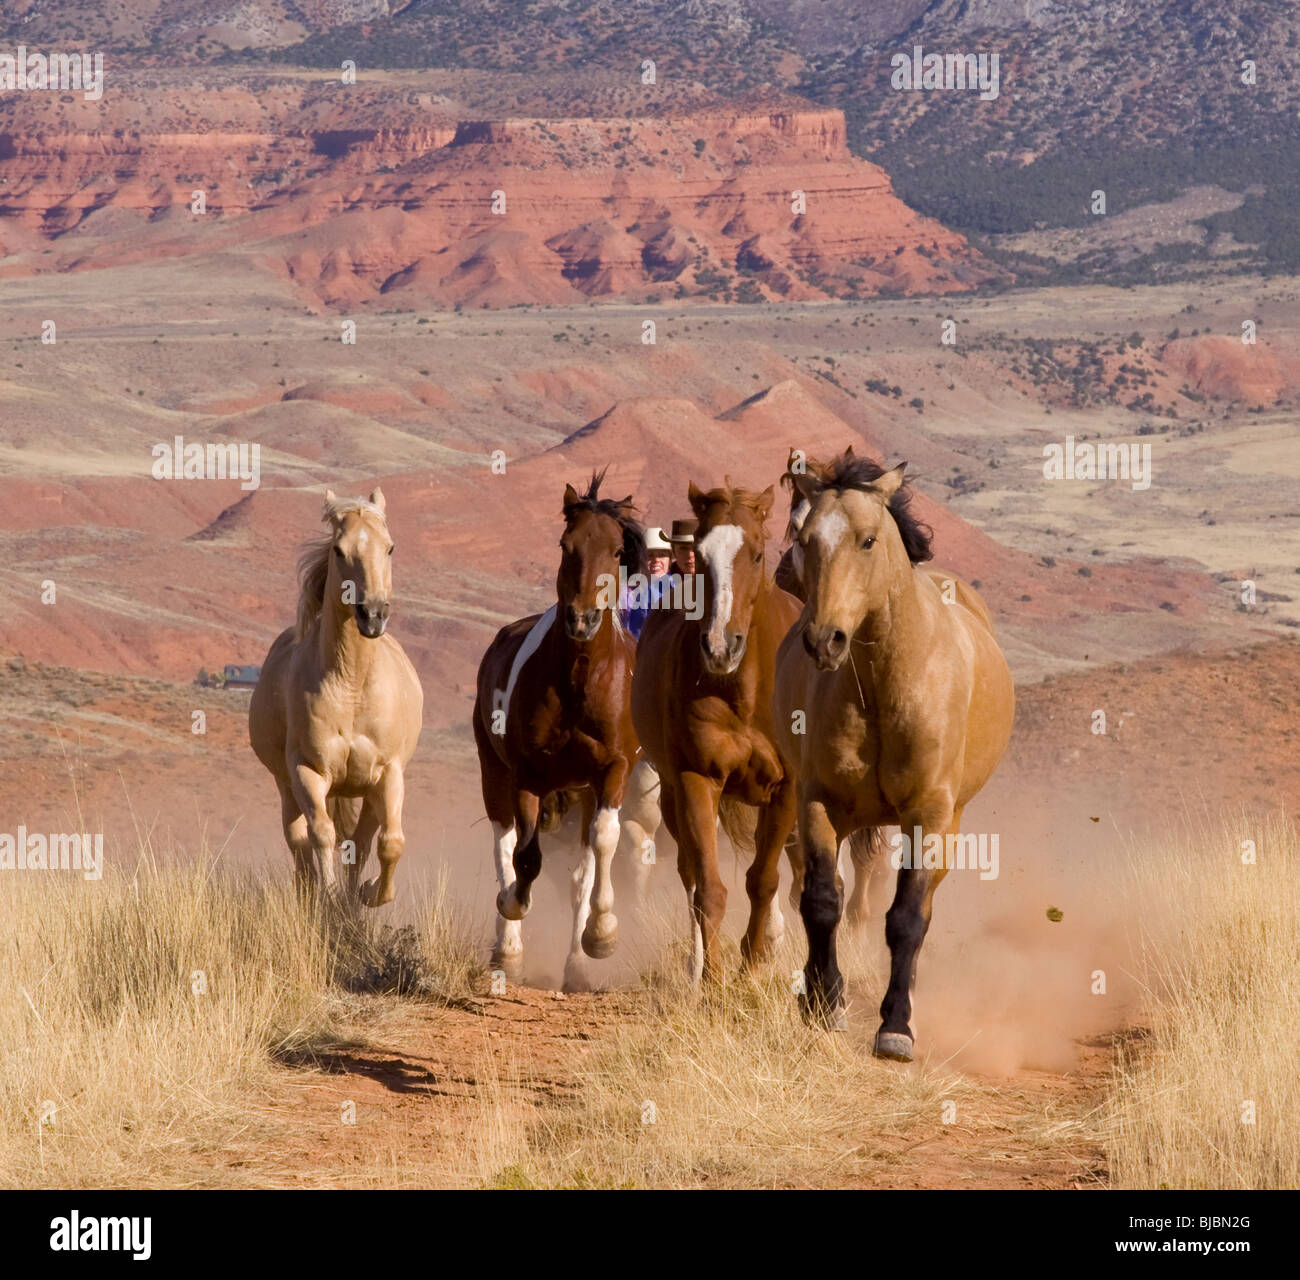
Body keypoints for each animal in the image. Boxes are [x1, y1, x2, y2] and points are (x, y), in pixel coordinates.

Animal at [250, 488, 424, 907]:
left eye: (390, 547)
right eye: (339, 551)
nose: (372, 615)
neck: (352, 685)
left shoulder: (388, 774)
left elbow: (389, 843)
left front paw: (369, 893)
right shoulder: (308, 772)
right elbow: (321, 835)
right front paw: (328, 898)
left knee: (360, 842)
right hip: (286, 784)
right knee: (299, 841)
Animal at [473, 472, 644, 990]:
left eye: (616, 550)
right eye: (566, 545)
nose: (582, 619)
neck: (580, 676)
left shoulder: (612, 770)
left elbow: (602, 846)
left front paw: (600, 937)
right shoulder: (528, 774)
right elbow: (524, 859)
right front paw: (511, 910)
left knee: (578, 874)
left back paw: (575, 966)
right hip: (493, 772)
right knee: (504, 843)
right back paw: (507, 948)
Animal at [632, 482, 803, 984]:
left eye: (758, 553)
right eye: (702, 556)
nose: (721, 646)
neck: (744, 691)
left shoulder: (788, 789)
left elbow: (763, 880)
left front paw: (753, 963)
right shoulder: (696, 780)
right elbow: (708, 887)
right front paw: (711, 977)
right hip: (670, 795)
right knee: (690, 873)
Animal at [774, 449, 1014, 1060]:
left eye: (868, 540)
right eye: (805, 539)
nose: (824, 640)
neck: (884, 687)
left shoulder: (928, 814)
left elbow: (907, 917)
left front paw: (896, 1026)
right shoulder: (818, 803)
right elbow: (821, 900)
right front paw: (823, 1001)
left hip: (951, 820)